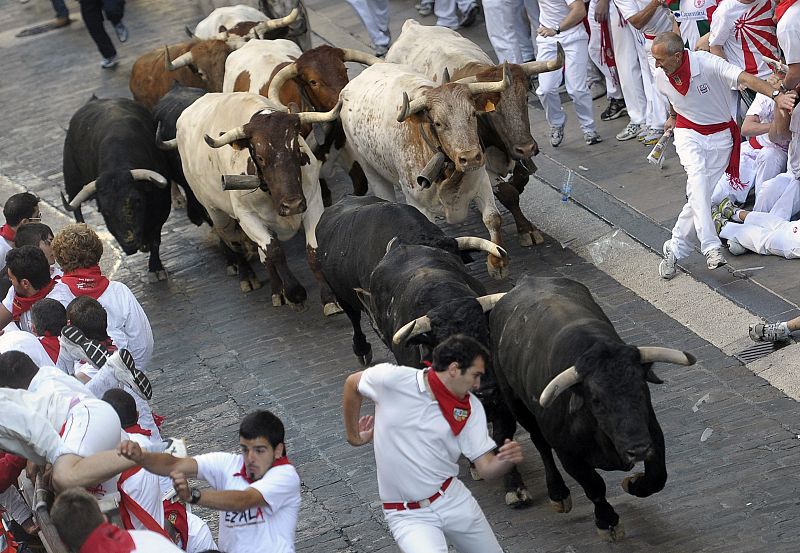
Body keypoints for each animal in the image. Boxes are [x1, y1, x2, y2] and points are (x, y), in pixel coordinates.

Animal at [63, 96, 172, 280]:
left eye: (137, 201)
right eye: (106, 212)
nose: (130, 243)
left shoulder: (163, 205)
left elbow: (155, 239)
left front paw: (156, 268)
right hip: (72, 182)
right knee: (76, 208)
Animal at [488, 276, 692, 540]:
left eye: (641, 389)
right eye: (596, 400)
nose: (637, 450)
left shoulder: (652, 433)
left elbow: (657, 477)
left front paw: (634, 484)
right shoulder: (568, 455)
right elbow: (594, 486)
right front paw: (607, 521)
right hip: (517, 405)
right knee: (540, 443)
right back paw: (558, 493)